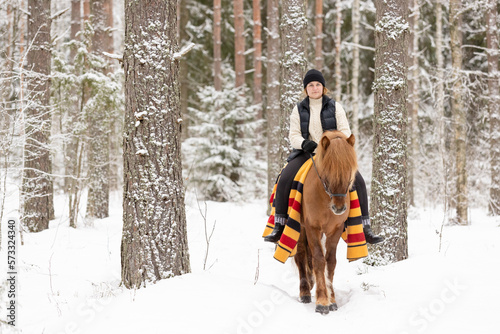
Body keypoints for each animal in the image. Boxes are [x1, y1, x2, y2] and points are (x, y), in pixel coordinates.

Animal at [292, 129, 360, 314]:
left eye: (350, 171)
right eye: (328, 173)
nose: (339, 208)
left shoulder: (335, 229)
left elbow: (330, 262)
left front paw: (332, 300)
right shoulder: (312, 227)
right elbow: (318, 260)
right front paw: (322, 301)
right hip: (300, 228)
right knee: (301, 256)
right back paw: (305, 292)